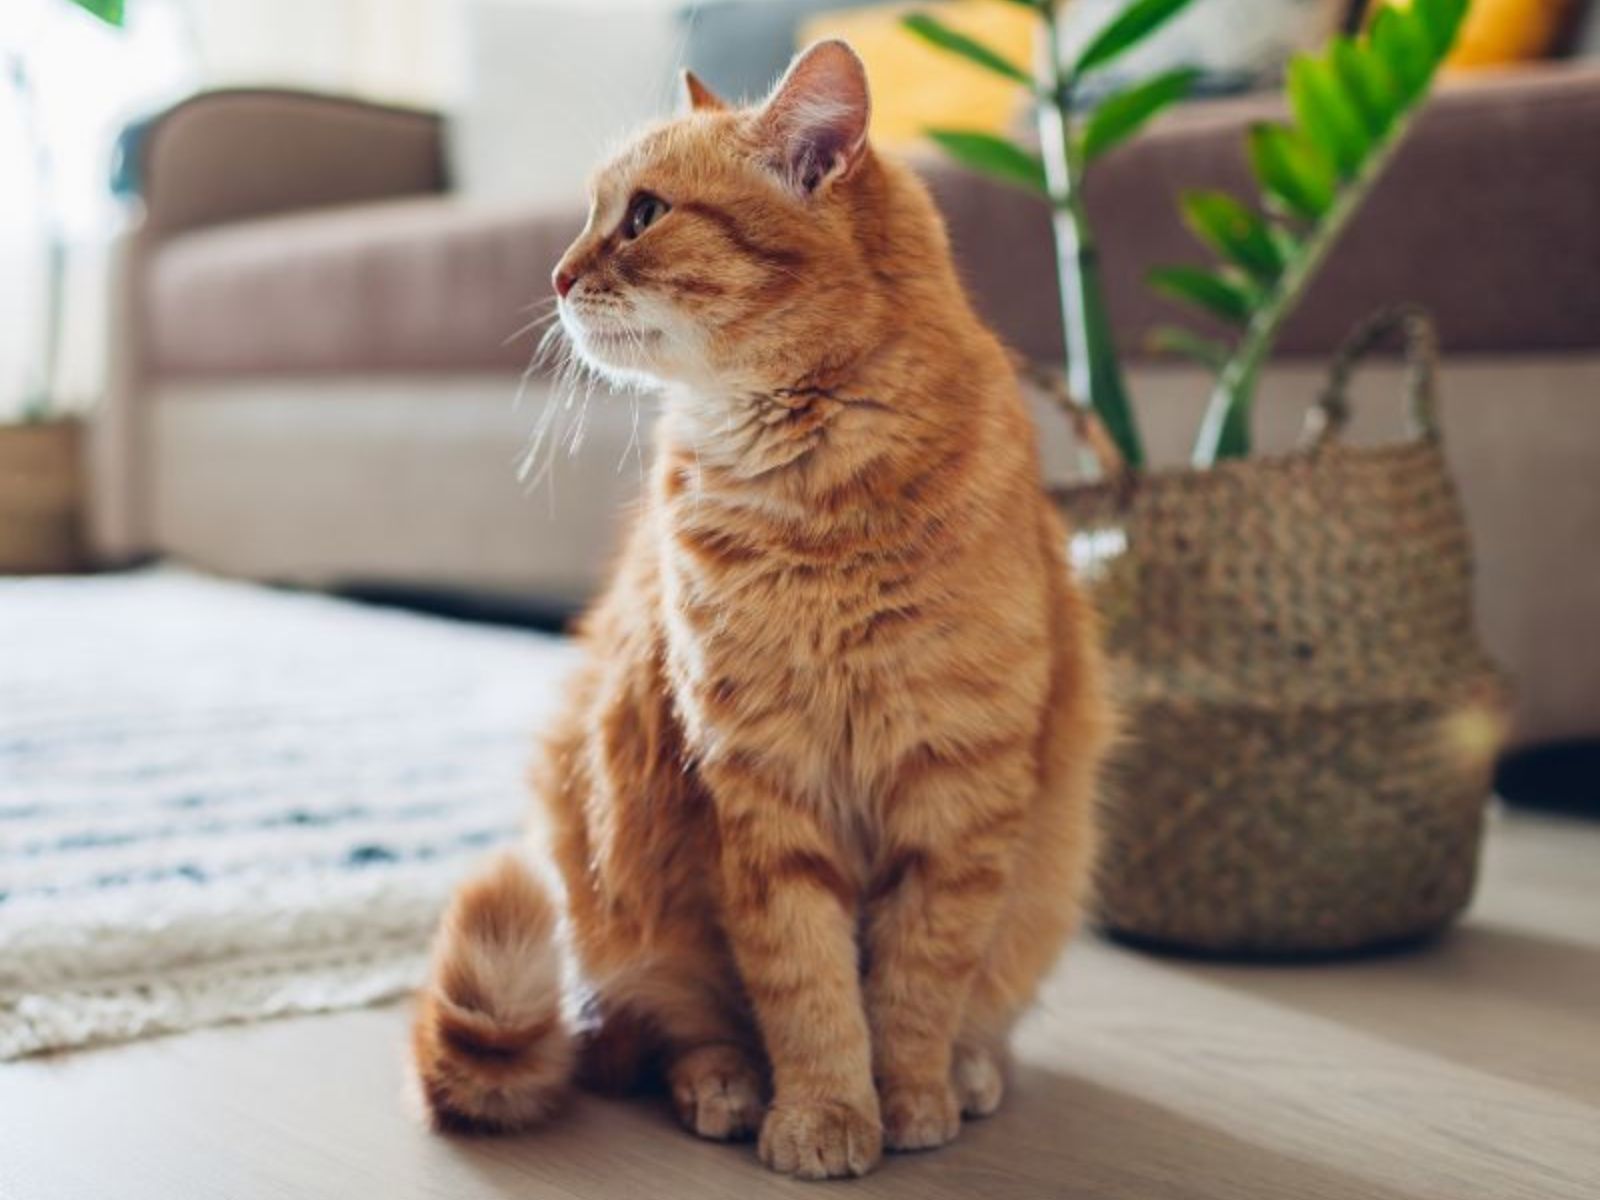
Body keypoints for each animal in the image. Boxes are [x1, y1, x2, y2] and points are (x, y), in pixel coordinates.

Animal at [412, 40, 1113, 1184]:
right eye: (594, 212)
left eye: (645, 215)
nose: (554, 275)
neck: (816, 505)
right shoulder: (758, 789)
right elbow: (808, 986)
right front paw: (825, 1111)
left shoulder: (957, 797)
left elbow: (918, 985)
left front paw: (909, 1096)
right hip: (610, 871)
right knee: (672, 1029)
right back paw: (728, 1086)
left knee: (981, 1004)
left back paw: (970, 1071)